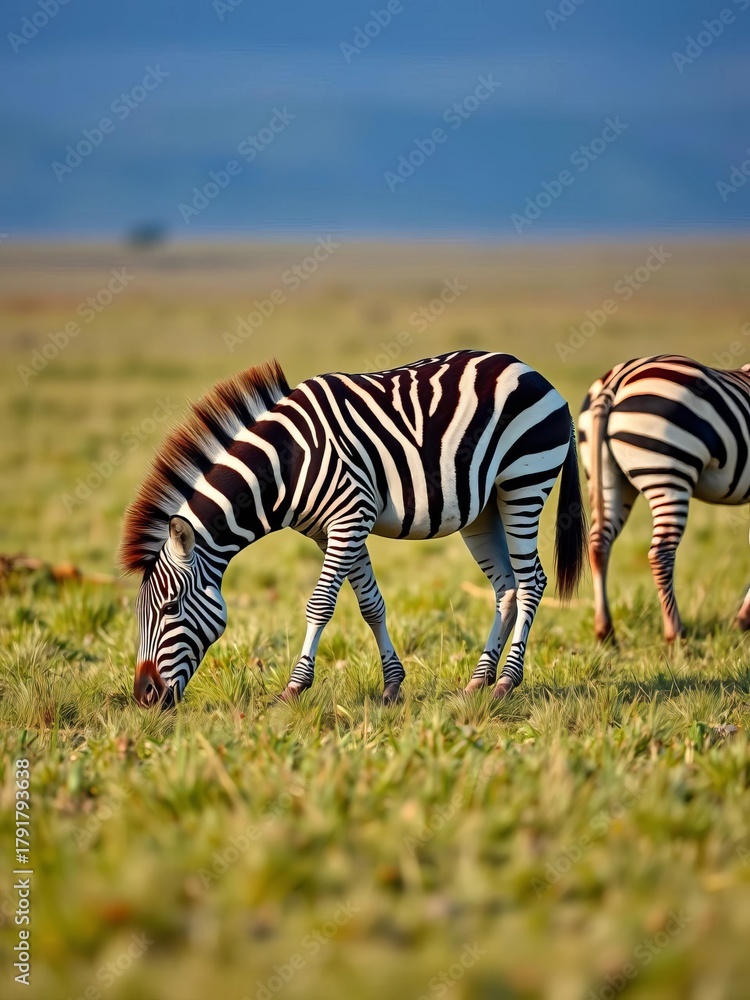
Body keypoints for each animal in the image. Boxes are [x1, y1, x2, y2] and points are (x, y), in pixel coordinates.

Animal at [120, 350, 586, 708]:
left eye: (170, 609)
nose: (144, 696)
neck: (285, 465)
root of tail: (532, 372)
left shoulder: (350, 517)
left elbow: (321, 604)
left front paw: (294, 688)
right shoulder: (334, 528)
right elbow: (370, 604)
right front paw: (392, 685)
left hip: (523, 483)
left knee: (531, 582)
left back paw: (506, 681)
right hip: (485, 507)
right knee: (506, 587)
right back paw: (479, 680)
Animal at [578, 354, 750, 644]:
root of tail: (616, 381)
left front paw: (743, 620)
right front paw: (743, 620)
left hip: (608, 479)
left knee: (598, 543)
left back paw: (605, 631)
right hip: (670, 474)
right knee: (661, 553)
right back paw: (675, 634)